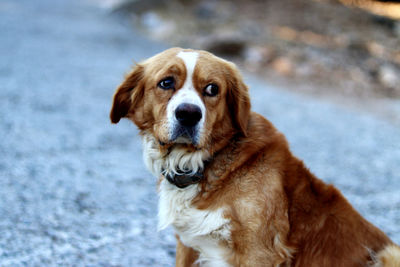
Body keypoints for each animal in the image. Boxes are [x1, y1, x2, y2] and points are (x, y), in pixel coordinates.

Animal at [110, 48, 400, 267]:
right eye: (166, 82)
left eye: (212, 89)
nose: (189, 114)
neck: (202, 165)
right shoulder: (188, 245)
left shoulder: (259, 251)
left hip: (389, 253)